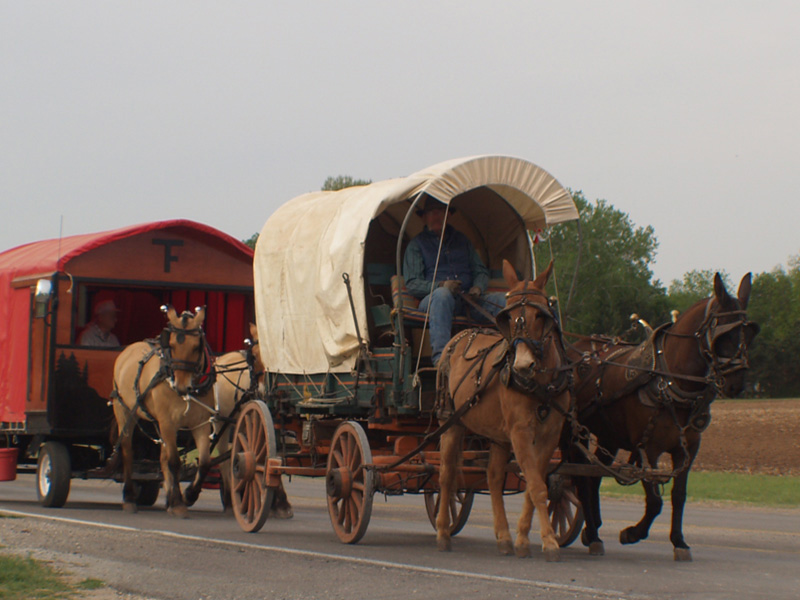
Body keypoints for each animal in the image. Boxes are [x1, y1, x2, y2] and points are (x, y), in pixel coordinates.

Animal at [111, 304, 216, 516]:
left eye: (196, 347)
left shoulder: (200, 423)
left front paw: (188, 495)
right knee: (127, 451)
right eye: (172, 346)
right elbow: (174, 461)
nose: (182, 387)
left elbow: (204, 462)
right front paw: (178, 503)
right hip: (124, 411)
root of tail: (129, 349)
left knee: (162, 457)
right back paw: (129, 498)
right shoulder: (168, 422)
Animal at [216, 326, 294, 516]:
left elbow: (275, 456)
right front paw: (279, 502)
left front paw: (277, 502)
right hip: (221, 423)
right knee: (223, 458)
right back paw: (229, 500)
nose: (263, 390)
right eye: (255, 356)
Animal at [434, 262, 572, 564]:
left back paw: (505, 538)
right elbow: (537, 486)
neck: (540, 383)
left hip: (498, 437)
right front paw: (549, 542)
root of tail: (460, 335)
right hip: (451, 422)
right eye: (507, 317)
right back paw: (443, 534)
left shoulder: (550, 435)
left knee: (494, 477)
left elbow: (534, 485)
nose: (521, 365)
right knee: (446, 476)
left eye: (540, 314)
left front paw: (522, 539)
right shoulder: (520, 432)